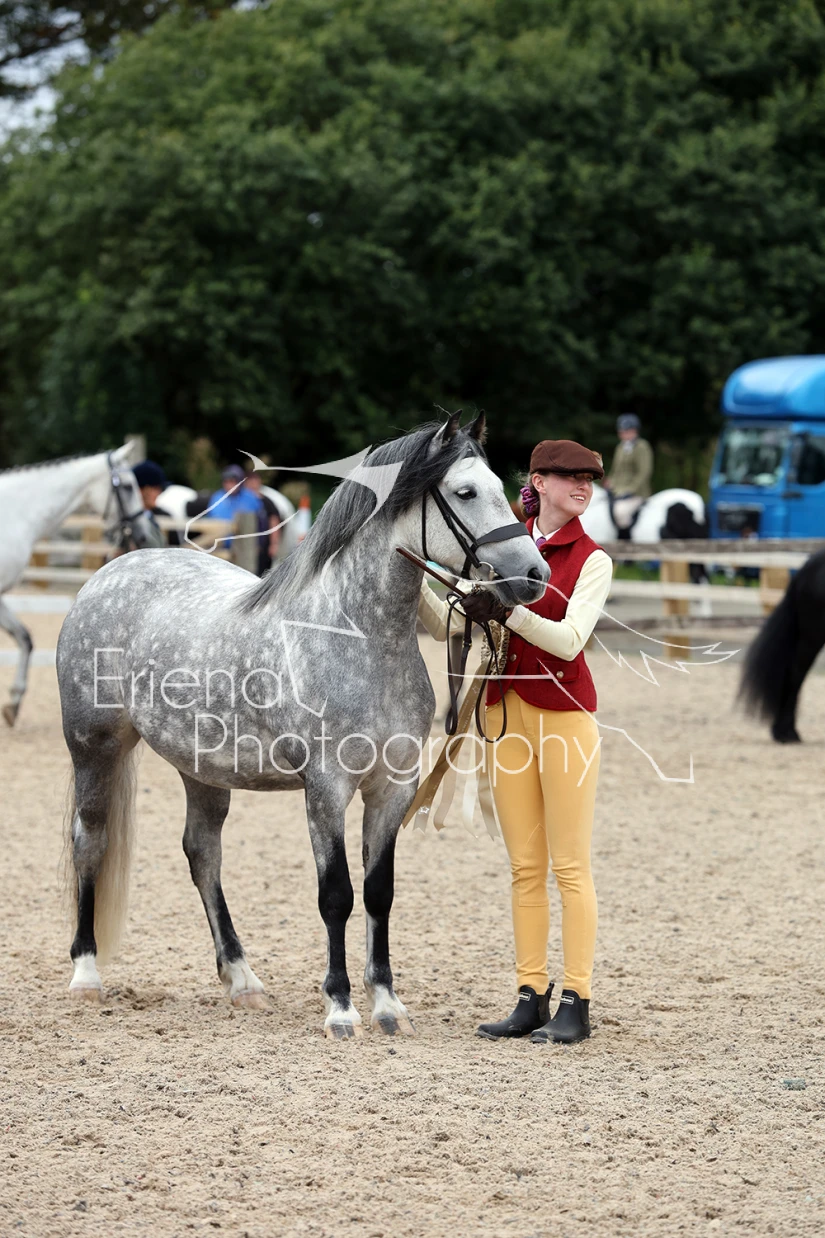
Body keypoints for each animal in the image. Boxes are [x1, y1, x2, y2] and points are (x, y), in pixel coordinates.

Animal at [56, 413, 549, 1038]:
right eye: (465, 492)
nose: (534, 574)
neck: (358, 637)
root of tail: (106, 575)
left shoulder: (392, 788)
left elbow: (379, 893)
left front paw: (387, 1005)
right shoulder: (326, 789)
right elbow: (336, 894)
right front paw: (340, 1007)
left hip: (203, 769)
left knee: (203, 854)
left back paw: (242, 980)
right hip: (94, 748)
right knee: (90, 840)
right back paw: (86, 974)